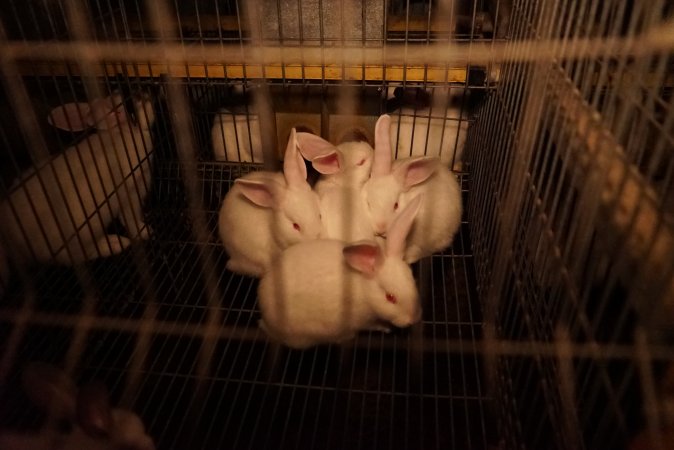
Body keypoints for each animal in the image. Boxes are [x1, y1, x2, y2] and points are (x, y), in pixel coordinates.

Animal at [0, 93, 155, 266]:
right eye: (96, 110)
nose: (116, 94)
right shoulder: (130, 190)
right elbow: (131, 219)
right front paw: (146, 232)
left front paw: (143, 100)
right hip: (75, 240)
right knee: (83, 254)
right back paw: (117, 243)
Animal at [255, 195, 422, 350]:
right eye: (390, 297)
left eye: (413, 280)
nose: (413, 318)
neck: (365, 289)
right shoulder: (362, 321)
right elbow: (373, 325)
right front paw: (385, 328)